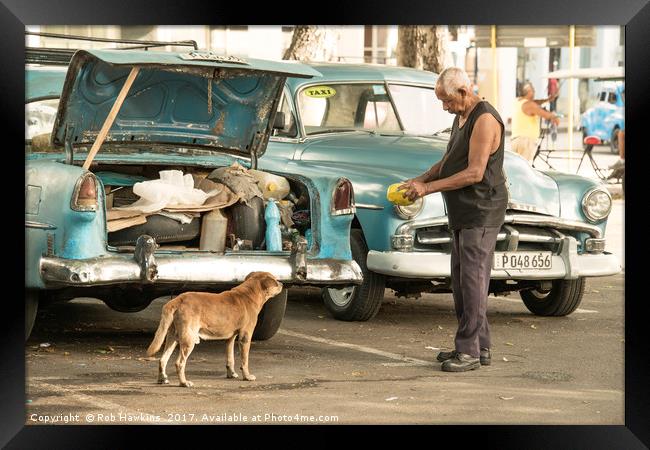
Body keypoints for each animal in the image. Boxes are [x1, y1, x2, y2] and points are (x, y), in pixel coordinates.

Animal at [148, 270, 282, 386]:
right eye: (275, 279)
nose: (282, 284)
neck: (249, 294)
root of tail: (177, 300)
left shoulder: (230, 338)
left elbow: (230, 358)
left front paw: (231, 374)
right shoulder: (245, 337)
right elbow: (245, 360)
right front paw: (247, 376)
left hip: (172, 338)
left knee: (162, 360)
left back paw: (162, 379)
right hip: (188, 340)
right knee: (179, 363)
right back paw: (184, 383)